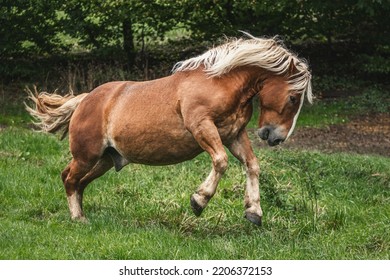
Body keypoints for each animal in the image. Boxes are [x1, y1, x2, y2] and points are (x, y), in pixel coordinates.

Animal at [26, 33, 314, 225]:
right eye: (293, 98)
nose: (275, 137)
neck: (220, 83)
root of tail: (84, 100)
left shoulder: (233, 134)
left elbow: (252, 165)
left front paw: (253, 212)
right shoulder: (201, 126)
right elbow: (220, 161)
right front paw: (199, 201)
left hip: (105, 160)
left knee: (78, 182)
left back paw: (82, 215)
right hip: (87, 156)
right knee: (69, 179)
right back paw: (78, 218)